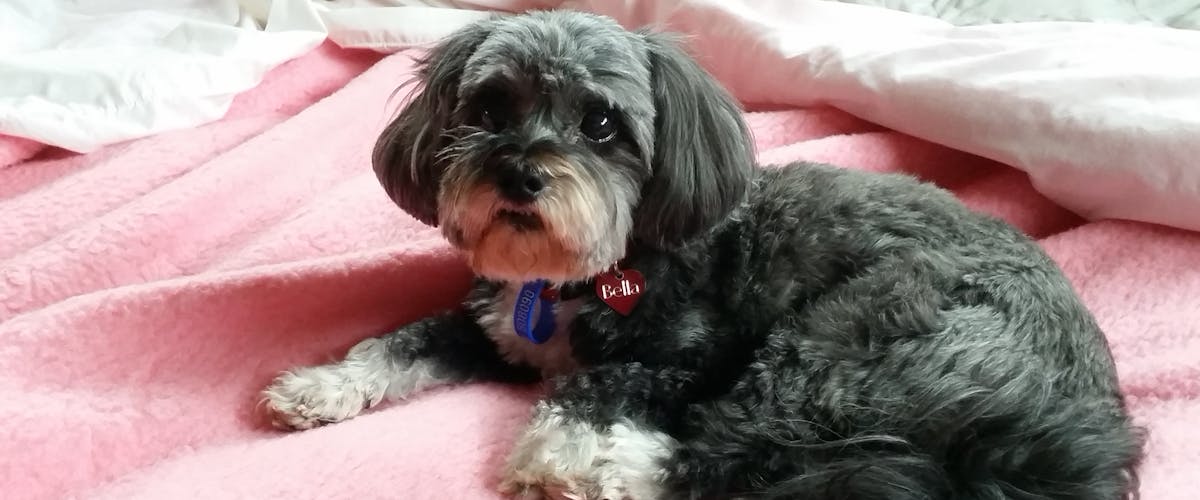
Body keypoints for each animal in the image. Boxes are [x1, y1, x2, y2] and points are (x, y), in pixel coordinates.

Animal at [262, 8, 1142, 498]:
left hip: (841, 346)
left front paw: (561, 443)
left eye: (602, 123)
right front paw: (321, 384)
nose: (518, 172)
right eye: (486, 108)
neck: (583, 272)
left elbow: (597, 382)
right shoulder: (497, 331)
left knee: (745, 453)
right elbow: (404, 339)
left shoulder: (693, 356)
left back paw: (601, 469)